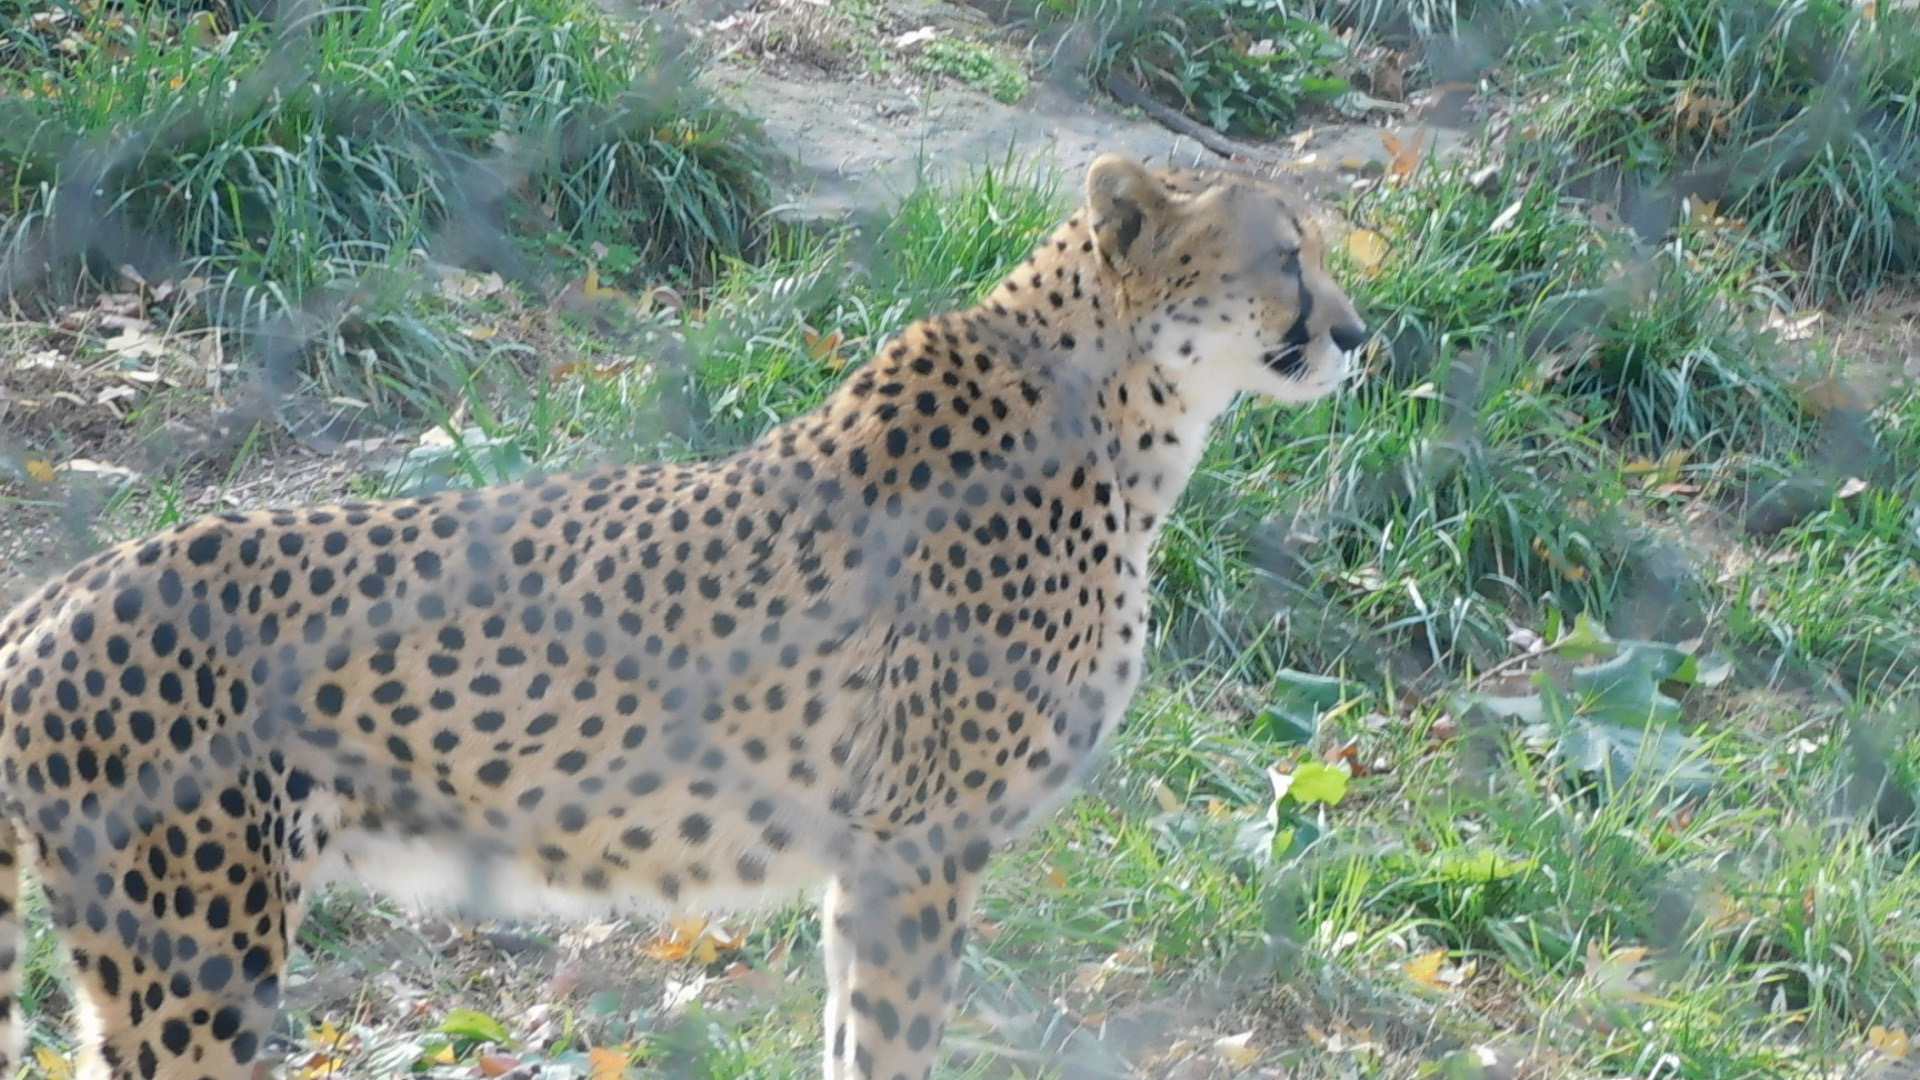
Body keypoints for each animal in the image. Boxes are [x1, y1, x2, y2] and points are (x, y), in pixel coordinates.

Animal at [0, 153, 1367, 1080]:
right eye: (1284, 254)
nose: (1357, 333)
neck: (1129, 421)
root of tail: (63, 589)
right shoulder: (916, 845)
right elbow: (893, 1041)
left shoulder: (868, 856)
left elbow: (850, 1033)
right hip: (199, 959)